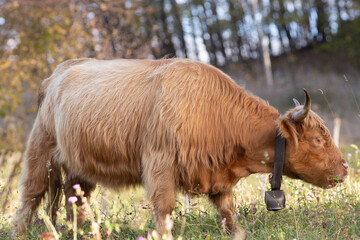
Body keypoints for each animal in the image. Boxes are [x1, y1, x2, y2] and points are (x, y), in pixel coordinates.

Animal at [14, 57, 348, 234]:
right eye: (319, 140)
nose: (345, 167)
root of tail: (58, 72)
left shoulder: (218, 177)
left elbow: (227, 210)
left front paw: (236, 233)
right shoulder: (159, 162)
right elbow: (164, 208)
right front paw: (164, 235)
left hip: (79, 169)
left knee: (75, 203)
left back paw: (83, 233)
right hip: (41, 154)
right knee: (29, 198)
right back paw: (21, 232)